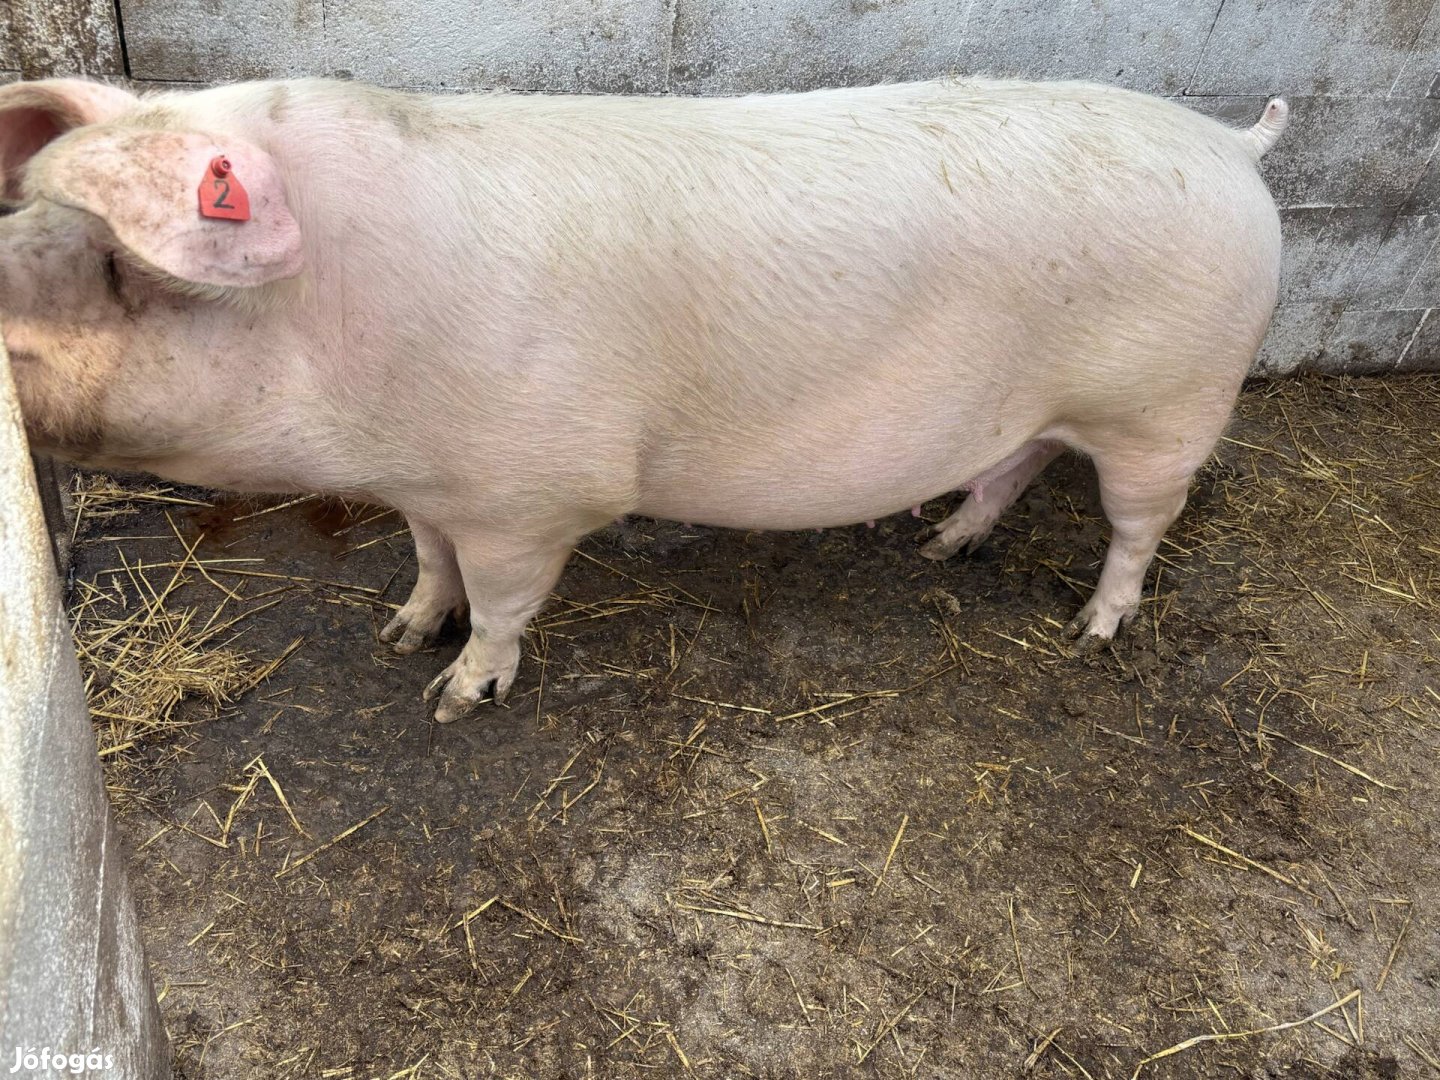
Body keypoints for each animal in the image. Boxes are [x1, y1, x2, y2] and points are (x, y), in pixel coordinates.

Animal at [0, 75, 1288, 722]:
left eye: (122, 266)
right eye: (33, 209)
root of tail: (1236, 148)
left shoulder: (528, 492)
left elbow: (505, 603)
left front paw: (457, 699)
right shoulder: (423, 478)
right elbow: (426, 560)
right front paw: (401, 632)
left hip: (1167, 406)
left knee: (1139, 527)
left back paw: (1092, 633)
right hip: (1049, 404)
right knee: (1016, 462)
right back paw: (943, 546)